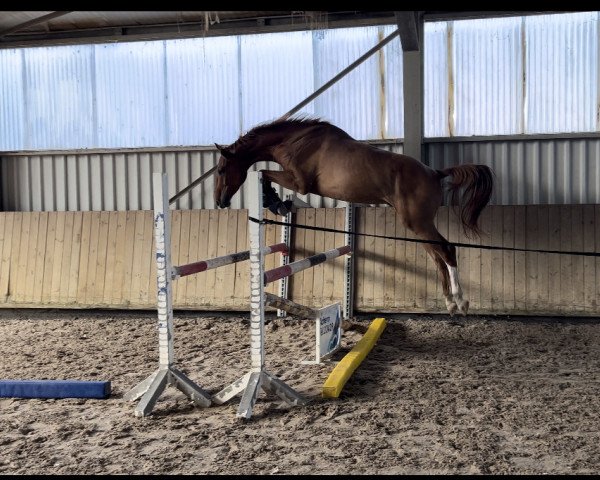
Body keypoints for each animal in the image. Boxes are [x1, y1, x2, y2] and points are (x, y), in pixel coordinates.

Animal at [213, 117, 494, 316]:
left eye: (221, 170)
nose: (220, 202)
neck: (296, 141)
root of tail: (435, 173)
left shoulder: (300, 183)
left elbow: (264, 172)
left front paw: (275, 202)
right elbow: (264, 173)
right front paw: (278, 203)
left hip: (418, 223)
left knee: (447, 250)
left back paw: (461, 302)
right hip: (418, 226)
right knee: (438, 258)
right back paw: (449, 304)